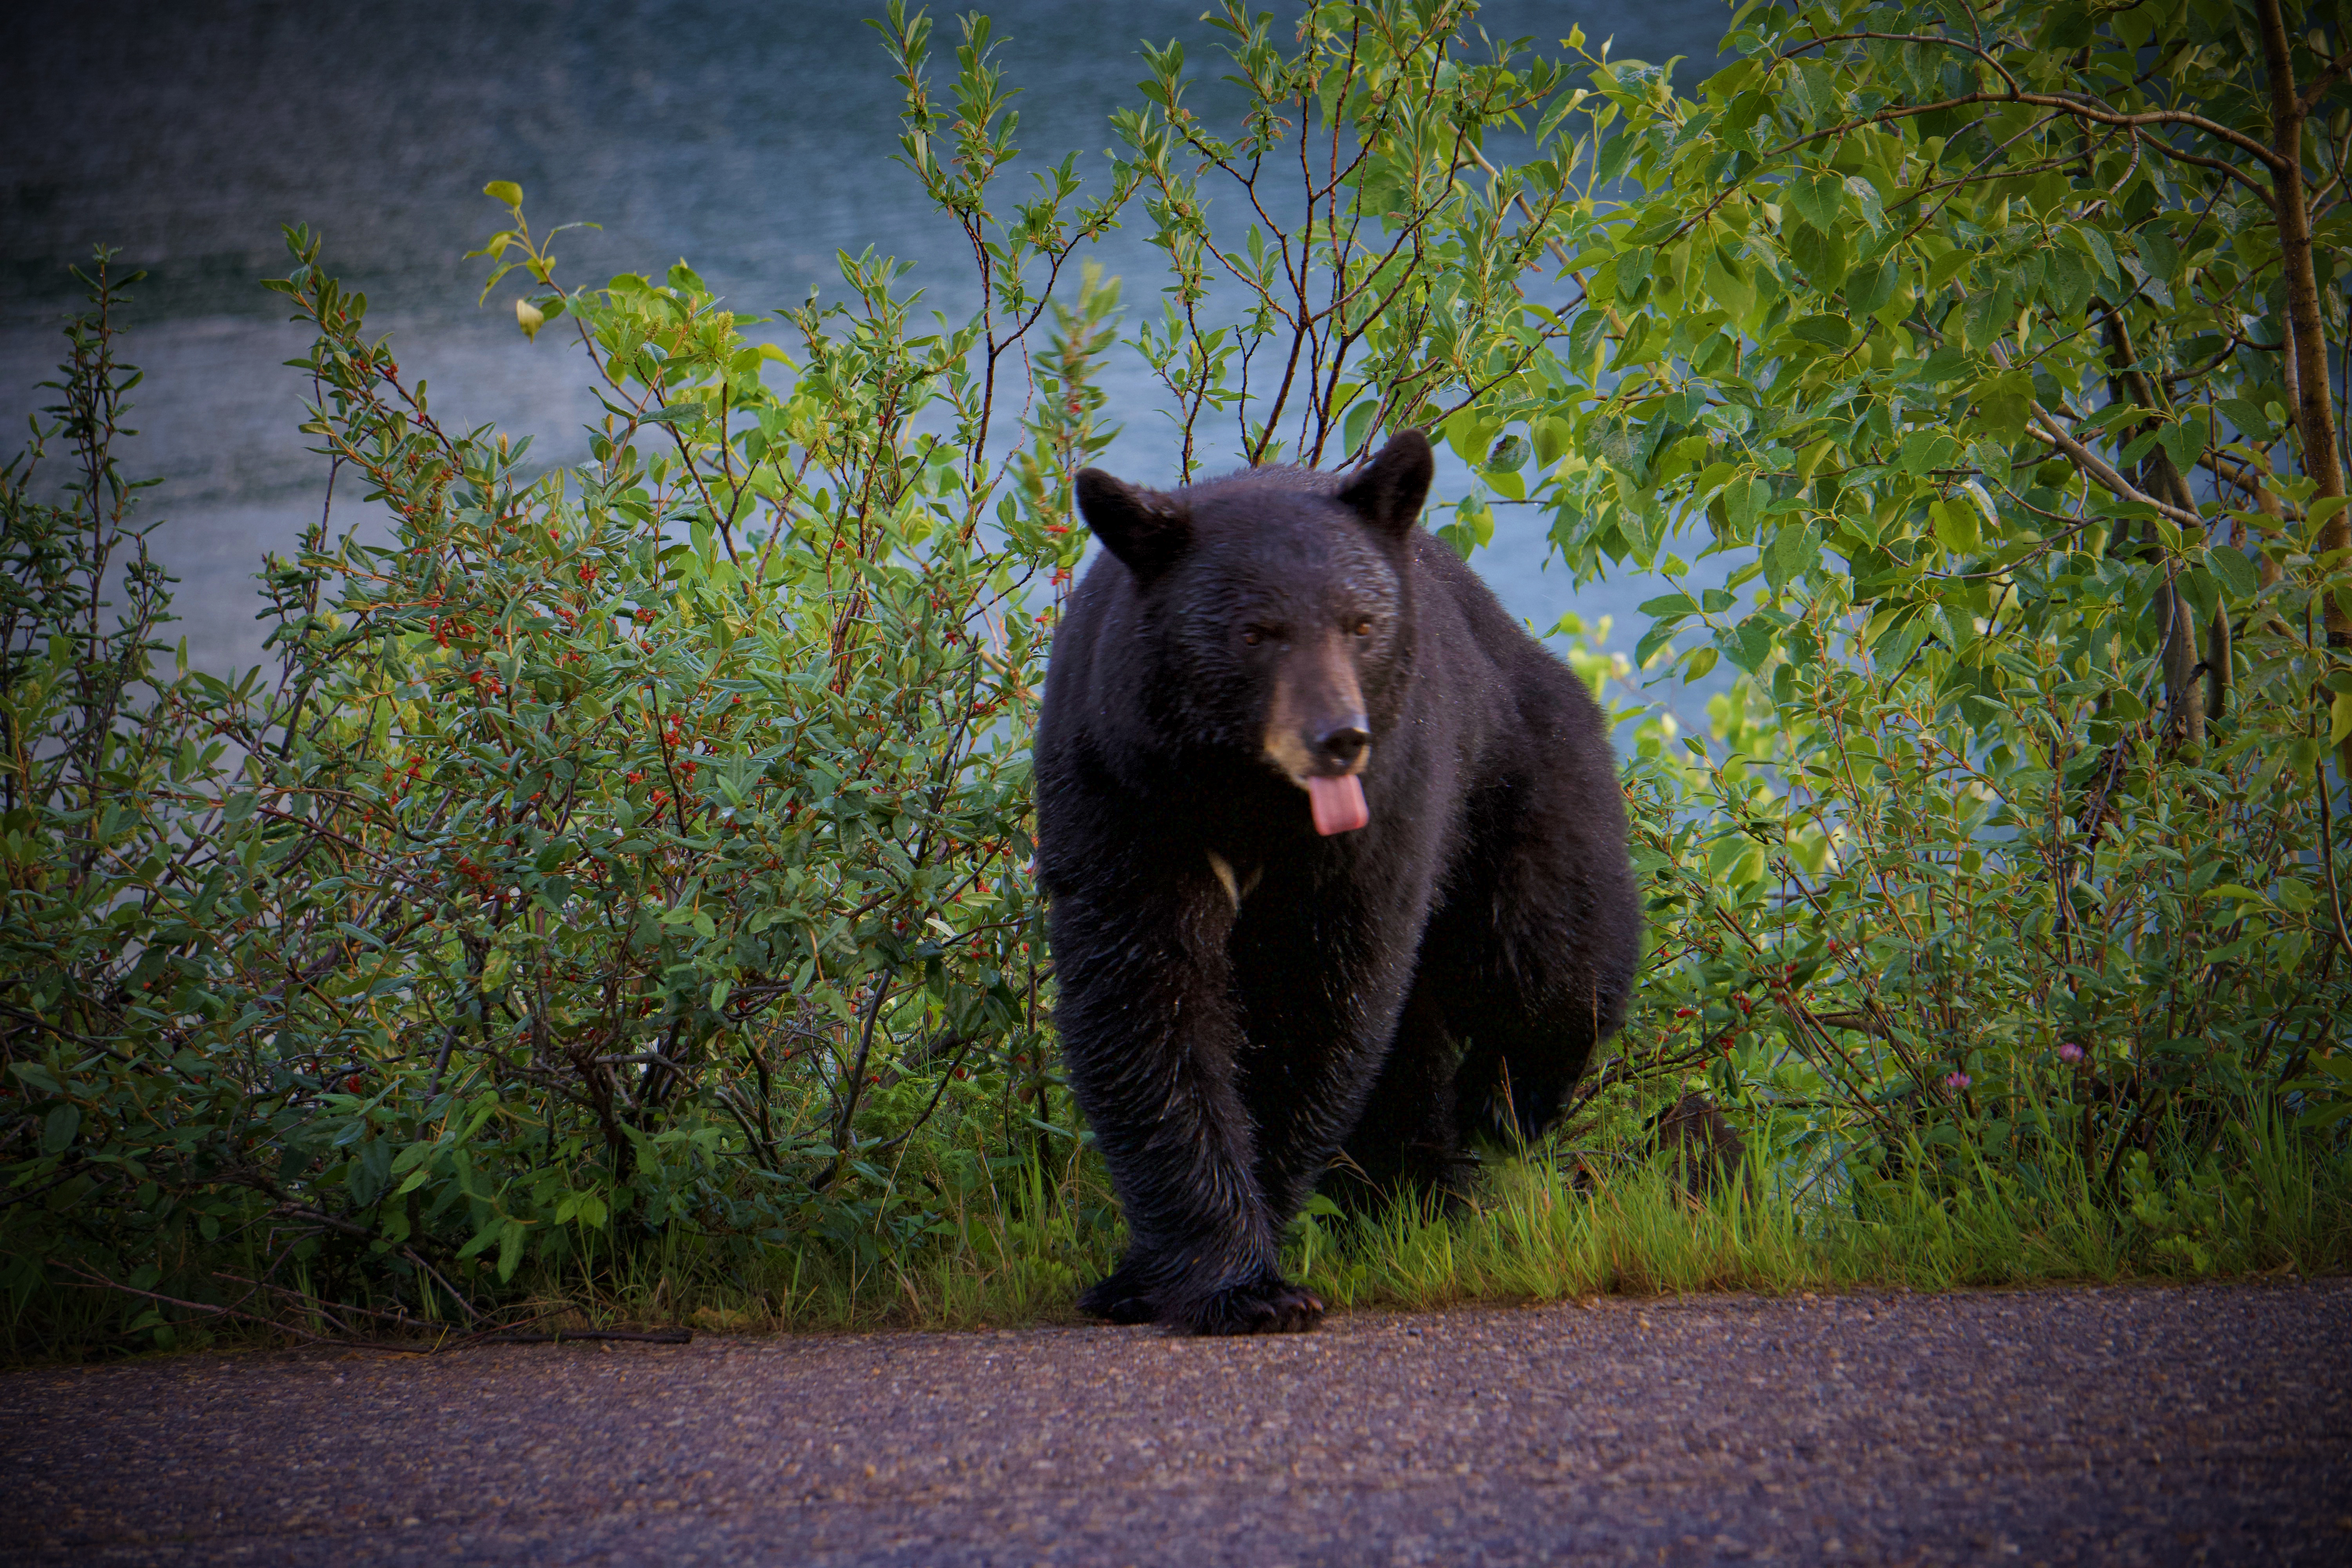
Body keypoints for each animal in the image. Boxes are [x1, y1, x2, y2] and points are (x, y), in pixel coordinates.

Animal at [1034, 430, 1642, 1335]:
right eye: (1256, 632)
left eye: (1360, 624)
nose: (1339, 738)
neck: (1246, 802)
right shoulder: (1124, 796)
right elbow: (1146, 999)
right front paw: (1191, 1276)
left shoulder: (1378, 822)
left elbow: (1318, 1006)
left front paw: (1251, 1273)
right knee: (1419, 1048)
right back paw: (1417, 1188)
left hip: (1526, 789)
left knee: (1546, 965)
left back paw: (1500, 1109)